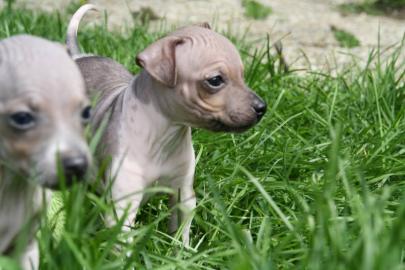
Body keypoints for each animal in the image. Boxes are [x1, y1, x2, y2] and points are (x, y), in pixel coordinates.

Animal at [67, 4, 266, 247]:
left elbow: (181, 231)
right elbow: (122, 241)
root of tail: (79, 56)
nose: (262, 108)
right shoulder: (123, 206)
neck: (162, 138)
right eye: (215, 80)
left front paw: (183, 252)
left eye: (242, 75)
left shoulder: (183, 194)